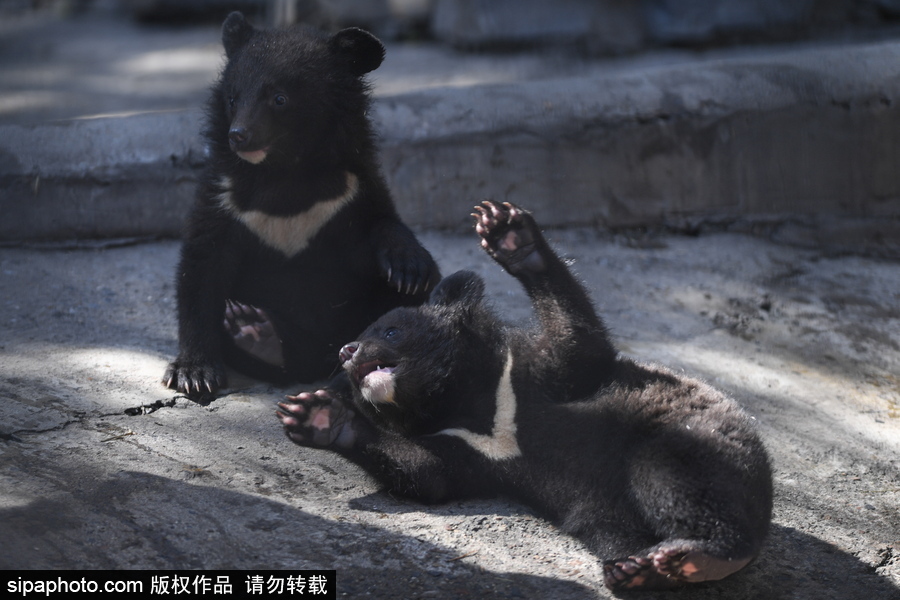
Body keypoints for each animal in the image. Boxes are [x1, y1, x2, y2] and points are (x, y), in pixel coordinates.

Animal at [162, 12, 439, 400]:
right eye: (233, 99)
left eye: (279, 98)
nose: (239, 136)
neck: (284, 171)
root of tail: (313, 359)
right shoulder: (224, 197)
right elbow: (200, 270)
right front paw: (194, 373)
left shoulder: (350, 191)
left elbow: (382, 223)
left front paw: (409, 270)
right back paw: (254, 330)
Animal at [277, 200, 773, 591]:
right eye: (356, 349)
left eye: (389, 330)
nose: (346, 351)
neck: (467, 398)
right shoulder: (471, 447)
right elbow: (429, 473)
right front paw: (317, 416)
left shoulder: (530, 373)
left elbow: (579, 348)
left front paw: (507, 232)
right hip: (601, 504)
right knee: (606, 525)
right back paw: (636, 568)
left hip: (694, 443)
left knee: (672, 478)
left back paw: (701, 554)